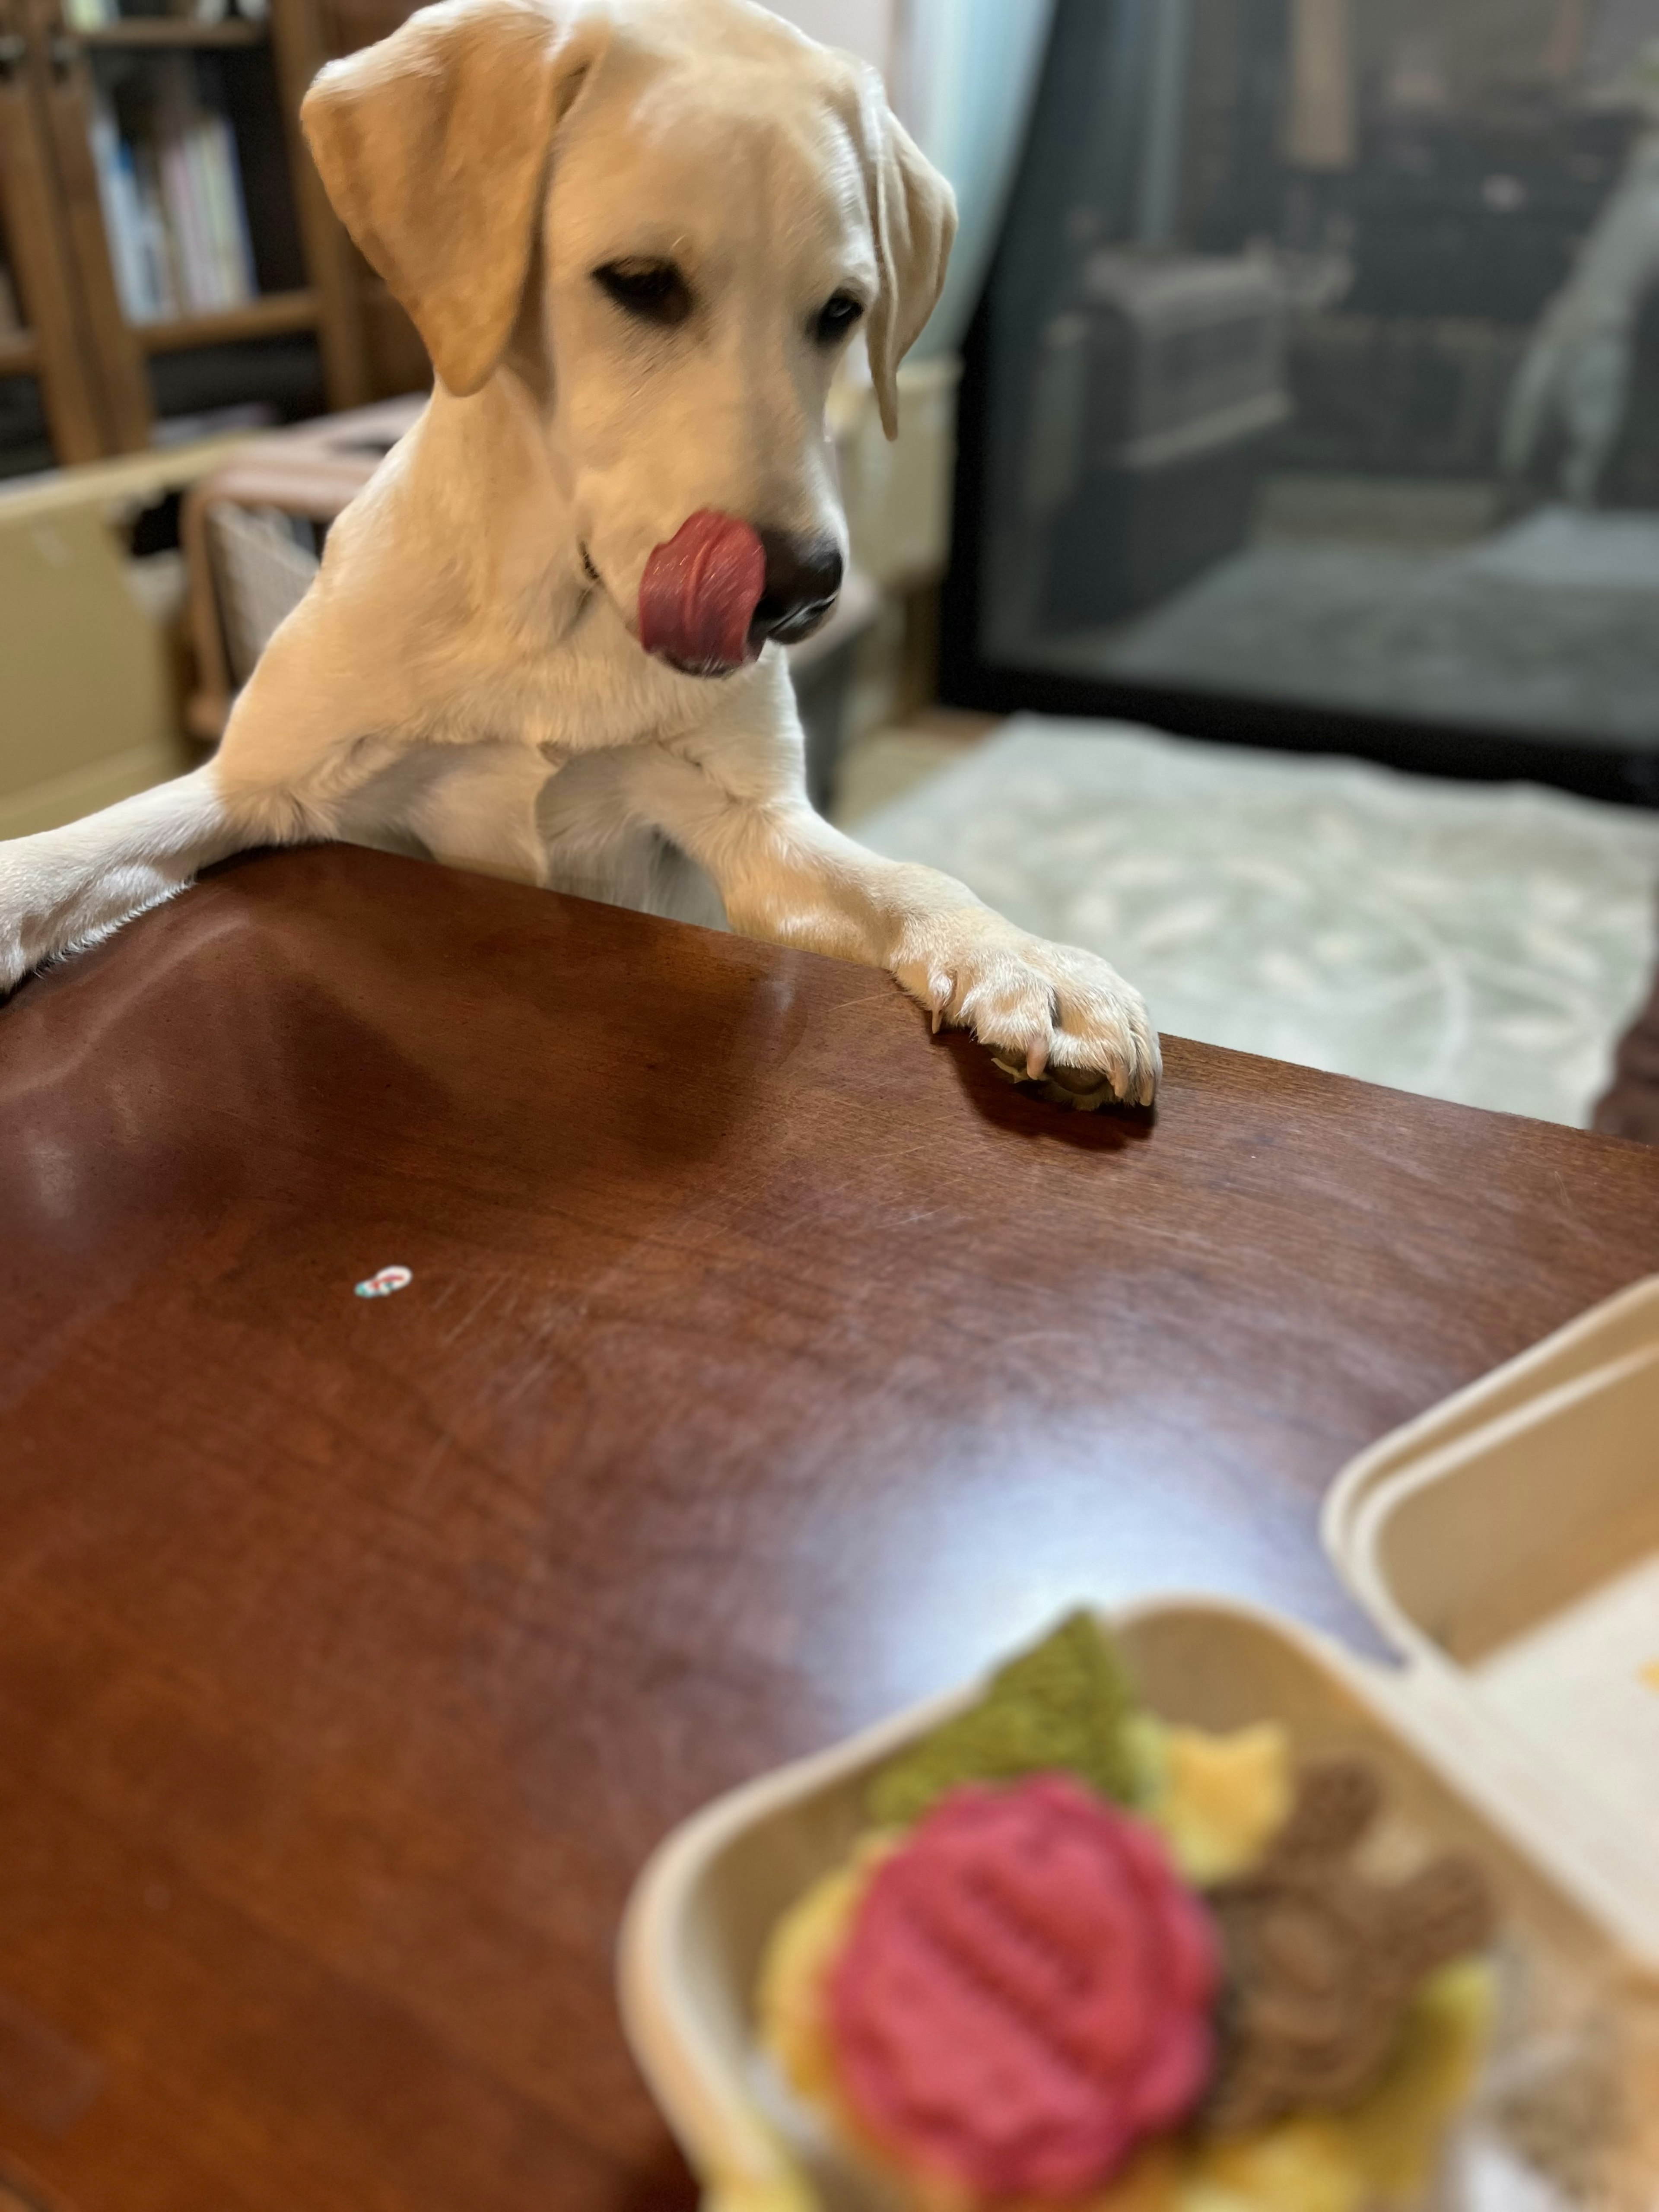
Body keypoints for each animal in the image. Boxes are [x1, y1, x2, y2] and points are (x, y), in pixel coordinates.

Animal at [0, 0, 1159, 1106]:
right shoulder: (266, 784)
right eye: (640, 282)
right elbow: (84, 843)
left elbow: (907, 878)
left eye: (842, 312)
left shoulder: (742, 827)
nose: (798, 593)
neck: (550, 613)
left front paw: (1026, 960)